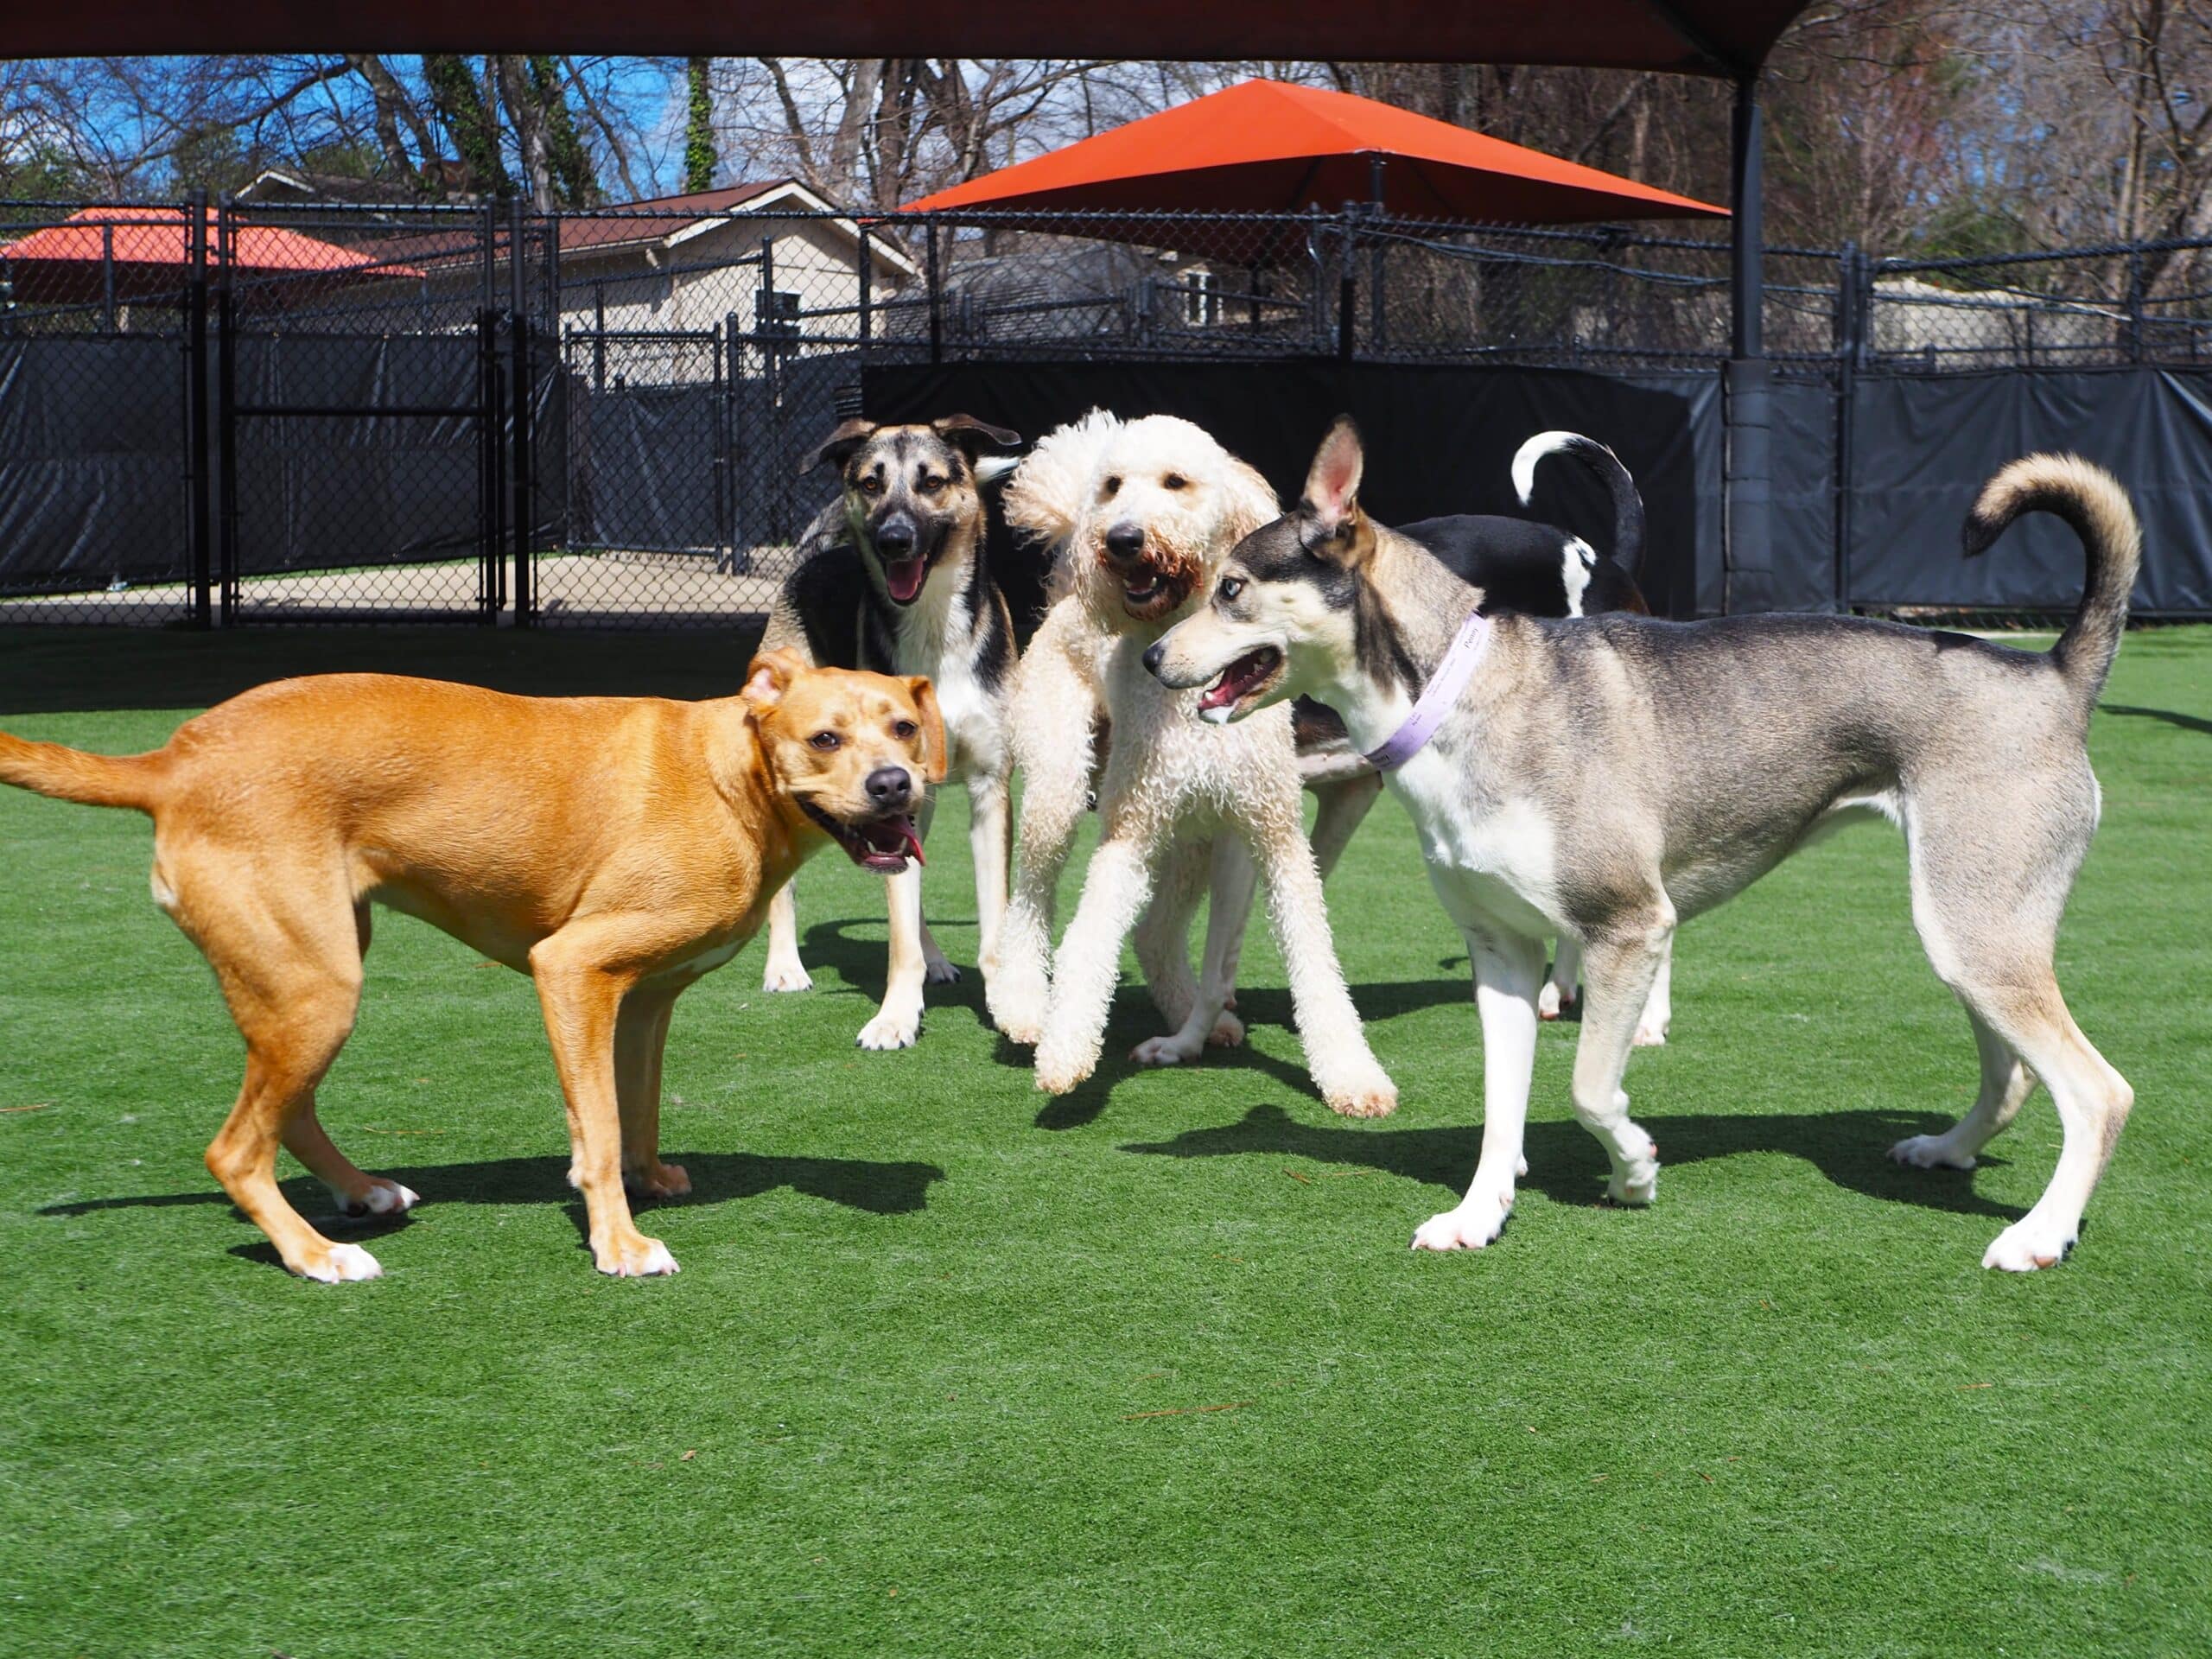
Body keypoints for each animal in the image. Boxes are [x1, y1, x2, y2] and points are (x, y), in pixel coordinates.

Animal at [0, 650, 942, 1282]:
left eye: (902, 726)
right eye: (825, 738)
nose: (896, 785)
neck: (729, 774)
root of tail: (171, 761)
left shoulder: (643, 1000)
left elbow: (635, 1106)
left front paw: (650, 1181)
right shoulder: (572, 969)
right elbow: (599, 1126)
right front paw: (619, 1242)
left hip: (315, 977)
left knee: (287, 1113)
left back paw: (362, 1193)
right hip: (315, 988)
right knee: (235, 1150)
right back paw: (315, 1255)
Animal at [760, 409, 1026, 1044]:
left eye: (931, 482)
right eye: (871, 483)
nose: (894, 539)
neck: (933, 628)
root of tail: (811, 560)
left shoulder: (988, 788)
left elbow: (991, 921)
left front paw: (1010, 1004)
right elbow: (898, 934)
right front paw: (896, 1016)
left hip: (914, 794)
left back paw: (937, 959)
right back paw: (784, 966)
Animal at [990, 413, 1397, 1119]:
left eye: (1175, 482)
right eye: (1113, 485)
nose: (1122, 538)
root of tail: (1069, 595)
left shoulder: (1276, 835)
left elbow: (1316, 964)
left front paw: (1351, 1076)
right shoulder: (1127, 835)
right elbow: (1088, 940)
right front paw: (1066, 1054)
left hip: (1194, 837)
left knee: (1154, 932)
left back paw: (1194, 1017)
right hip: (1063, 788)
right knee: (1032, 902)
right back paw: (1024, 1010)